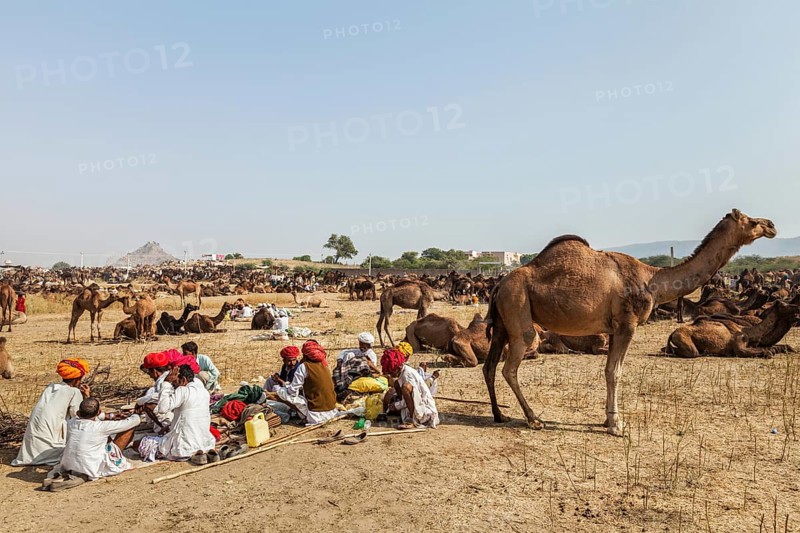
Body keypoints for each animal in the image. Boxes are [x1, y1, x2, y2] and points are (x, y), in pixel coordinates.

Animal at [483, 209, 776, 435]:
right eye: (751, 220)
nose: (771, 225)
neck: (652, 279)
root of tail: (499, 285)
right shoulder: (628, 324)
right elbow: (616, 372)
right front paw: (617, 425)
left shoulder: (614, 328)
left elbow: (608, 371)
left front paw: (608, 419)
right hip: (518, 308)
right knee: (510, 366)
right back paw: (534, 419)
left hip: (503, 322)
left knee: (489, 366)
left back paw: (500, 415)